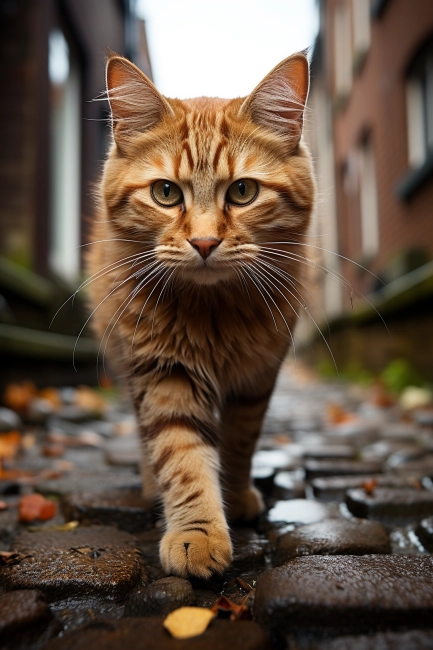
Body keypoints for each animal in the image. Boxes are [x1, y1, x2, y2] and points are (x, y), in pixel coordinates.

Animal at [86, 52, 314, 576]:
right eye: (166, 193)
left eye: (244, 192)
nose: (205, 242)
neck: (213, 313)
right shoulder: (163, 372)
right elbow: (182, 455)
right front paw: (197, 532)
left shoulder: (256, 380)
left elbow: (239, 442)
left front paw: (234, 494)